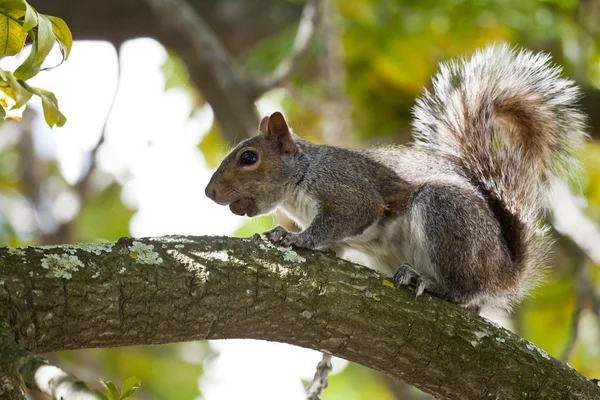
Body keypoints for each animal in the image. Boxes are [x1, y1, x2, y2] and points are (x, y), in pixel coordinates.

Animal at [205, 44, 584, 312]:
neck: (302, 175)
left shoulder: (347, 189)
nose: (209, 192)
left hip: (446, 214)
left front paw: (295, 238)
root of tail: (504, 271)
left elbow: (345, 218)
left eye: (249, 158)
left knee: (464, 292)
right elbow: (337, 243)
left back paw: (428, 282)